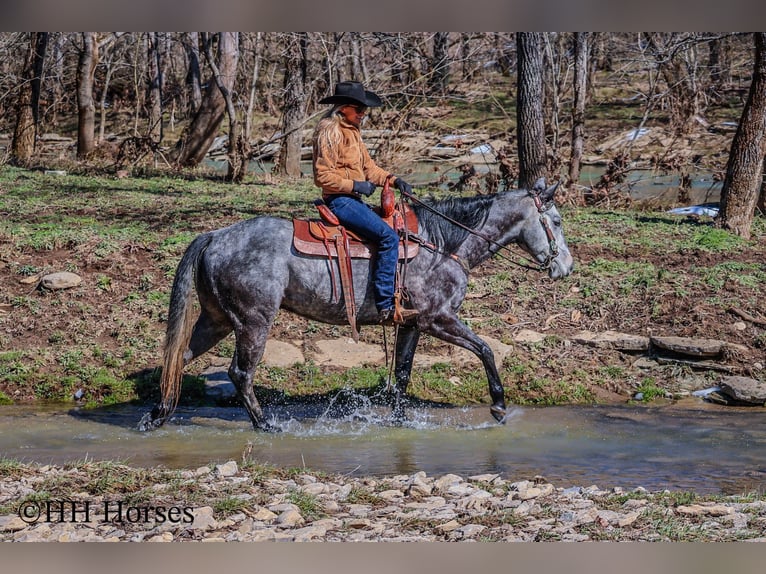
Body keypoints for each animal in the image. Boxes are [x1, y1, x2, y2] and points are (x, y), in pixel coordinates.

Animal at [138, 177, 574, 432]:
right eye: (555, 219)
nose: (565, 267)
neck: (443, 244)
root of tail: (215, 236)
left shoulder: (411, 324)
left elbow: (402, 372)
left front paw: (399, 419)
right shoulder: (438, 319)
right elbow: (485, 350)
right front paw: (499, 406)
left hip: (216, 320)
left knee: (179, 358)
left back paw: (158, 416)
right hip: (252, 322)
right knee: (240, 372)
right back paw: (265, 425)